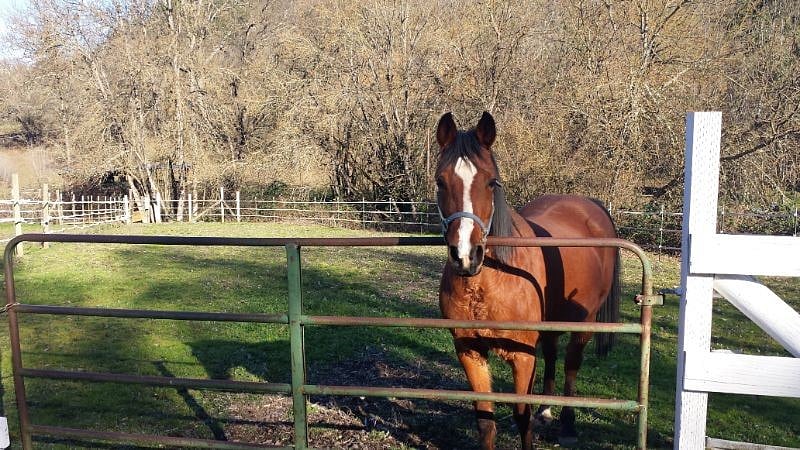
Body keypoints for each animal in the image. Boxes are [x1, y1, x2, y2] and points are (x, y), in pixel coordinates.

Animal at [435, 111, 620, 449]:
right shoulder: (469, 352)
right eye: (440, 182)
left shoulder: (522, 357)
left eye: (491, 182)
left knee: (572, 363)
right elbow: (485, 422)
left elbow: (522, 416)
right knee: (552, 353)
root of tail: (590, 205)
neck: (490, 281)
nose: (466, 255)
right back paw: (546, 410)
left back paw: (568, 426)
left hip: (584, 322)